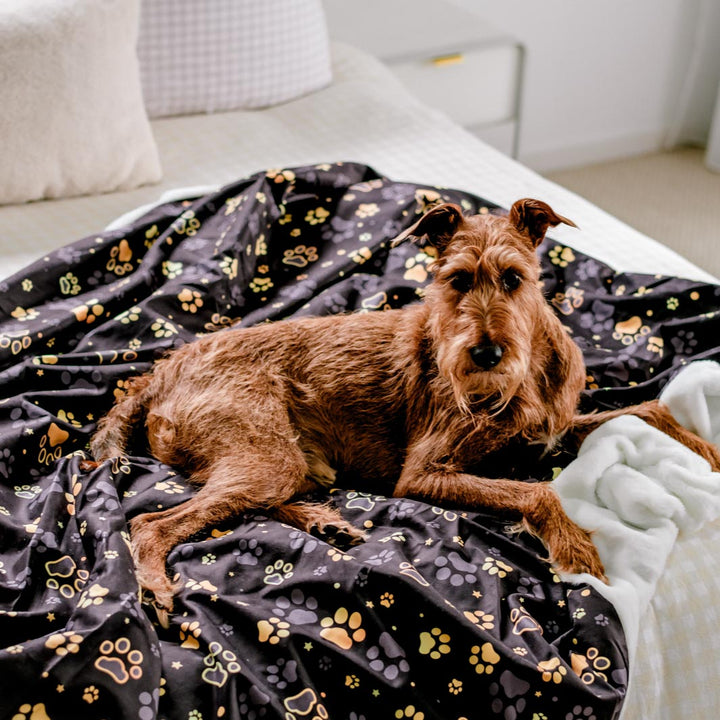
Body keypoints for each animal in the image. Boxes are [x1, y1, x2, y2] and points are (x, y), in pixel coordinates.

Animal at [88, 197, 720, 608]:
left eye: (514, 278)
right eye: (456, 280)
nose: (485, 354)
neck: (525, 376)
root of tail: (158, 373)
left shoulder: (556, 426)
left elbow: (650, 410)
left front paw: (706, 451)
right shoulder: (423, 473)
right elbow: (535, 491)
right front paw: (576, 547)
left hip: (285, 461)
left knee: (247, 500)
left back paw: (326, 522)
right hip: (263, 452)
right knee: (152, 523)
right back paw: (158, 590)